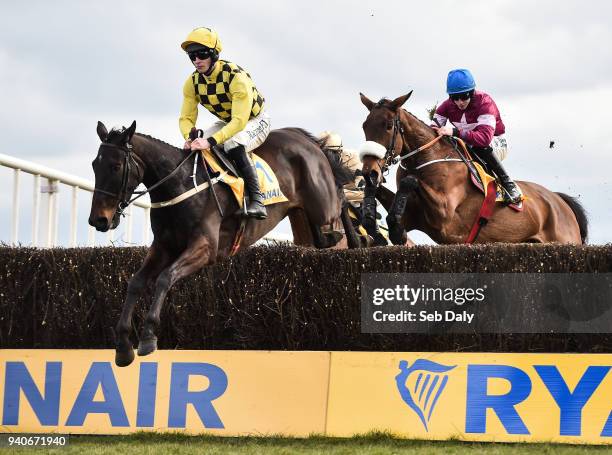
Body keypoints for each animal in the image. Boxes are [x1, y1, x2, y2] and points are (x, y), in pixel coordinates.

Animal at [87, 121, 354, 366]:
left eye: (116, 166)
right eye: (94, 165)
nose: (98, 219)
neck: (180, 186)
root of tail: (304, 138)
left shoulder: (205, 248)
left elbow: (165, 278)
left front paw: (148, 336)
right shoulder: (163, 247)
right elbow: (135, 283)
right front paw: (123, 345)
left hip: (323, 206)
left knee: (340, 205)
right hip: (301, 214)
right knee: (319, 232)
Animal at [358, 92, 588, 246]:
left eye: (389, 126)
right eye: (364, 126)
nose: (370, 170)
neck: (428, 157)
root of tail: (559, 201)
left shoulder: (445, 214)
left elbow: (411, 181)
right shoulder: (414, 216)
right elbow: (382, 196)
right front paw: (370, 217)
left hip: (564, 241)